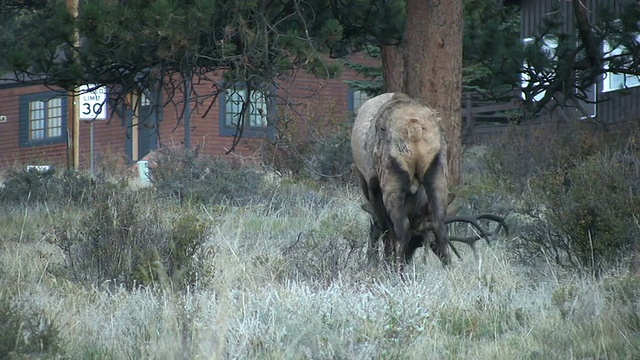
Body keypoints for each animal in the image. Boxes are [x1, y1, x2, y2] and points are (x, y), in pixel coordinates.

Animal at [352, 93, 508, 268]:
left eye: (418, 243)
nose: (408, 259)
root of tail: (414, 127)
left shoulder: (370, 183)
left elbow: (382, 227)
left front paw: (380, 262)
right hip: (438, 169)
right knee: (438, 223)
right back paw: (448, 268)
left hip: (389, 175)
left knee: (400, 225)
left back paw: (396, 269)